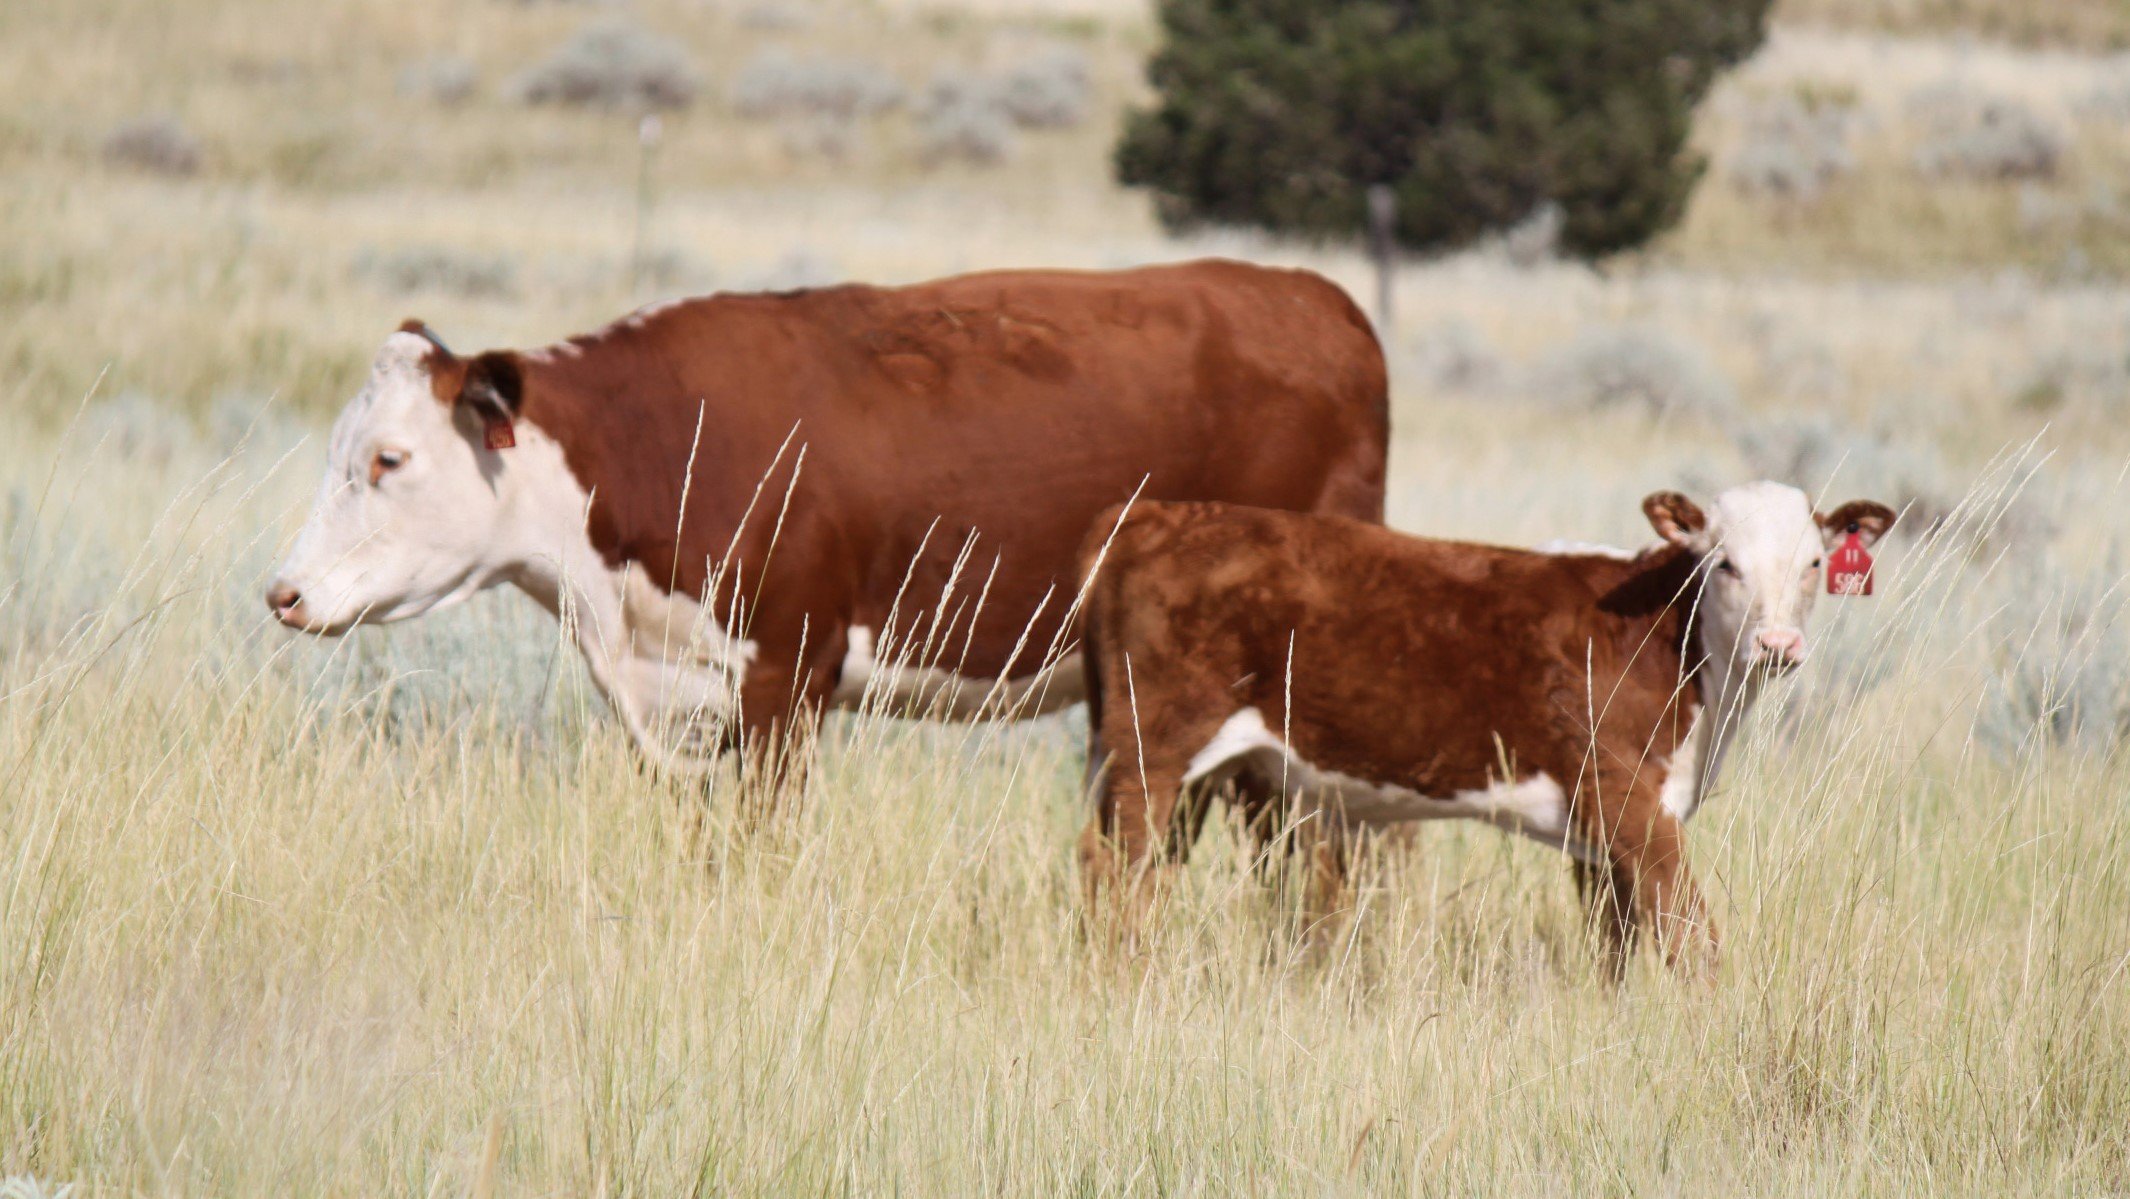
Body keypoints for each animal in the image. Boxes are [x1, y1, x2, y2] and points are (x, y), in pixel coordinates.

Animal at [1075, 483, 1895, 975]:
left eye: (1814, 562)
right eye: (1724, 563)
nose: (1778, 645)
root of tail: (1151, 514)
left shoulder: (1604, 835)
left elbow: (1618, 943)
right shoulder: (1626, 798)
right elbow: (1692, 937)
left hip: (1189, 769)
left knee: (1147, 871)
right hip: (1151, 747)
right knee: (1114, 868)